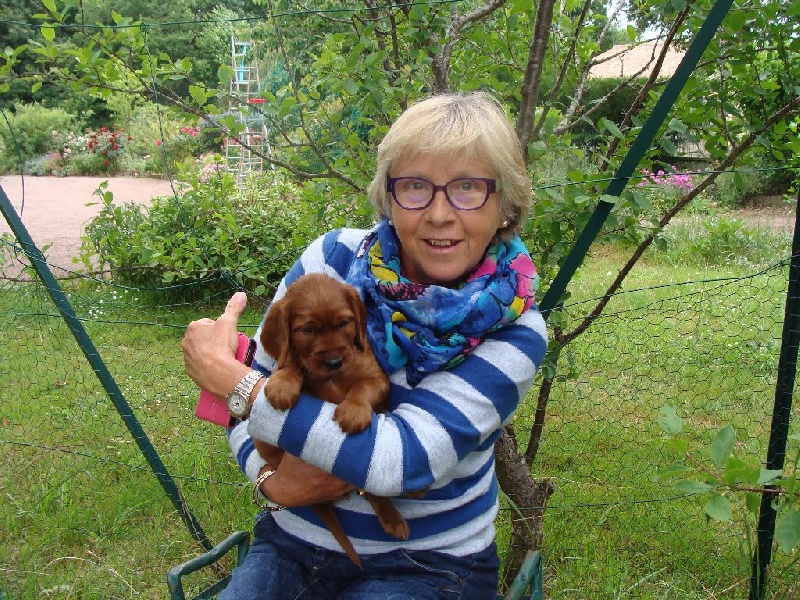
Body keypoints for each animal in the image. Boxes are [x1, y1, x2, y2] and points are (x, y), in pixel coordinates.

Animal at [254, 273, 408, 568]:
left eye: (343, 323)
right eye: (307, 330)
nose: (335, 361)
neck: (334, 377)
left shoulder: (377, 378)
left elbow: (361, 386)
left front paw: (354, 411)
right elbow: (291, 362)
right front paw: (282, 383)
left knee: (373, 491)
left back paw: (393, 519)